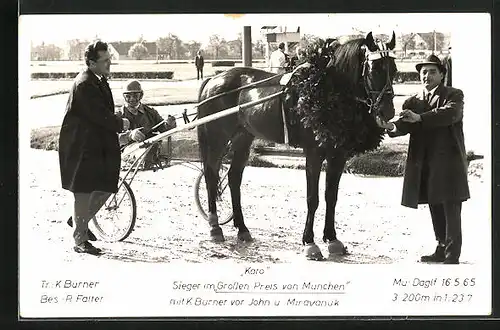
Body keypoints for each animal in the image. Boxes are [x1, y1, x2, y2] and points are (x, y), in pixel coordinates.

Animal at [197, 32, 396, 260]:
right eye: (375, 69)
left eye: (393, 69)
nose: (388, 111)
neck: (325, 88)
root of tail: (213, 79)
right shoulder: (314, 153)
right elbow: (313, 198)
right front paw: (310, 242)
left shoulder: (338, 154)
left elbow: (331, 197)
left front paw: (332, 238)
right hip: (217, 138)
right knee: (211, 175)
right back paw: (215, 227)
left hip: (243, 138)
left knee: (233, 178)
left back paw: (242, 228)